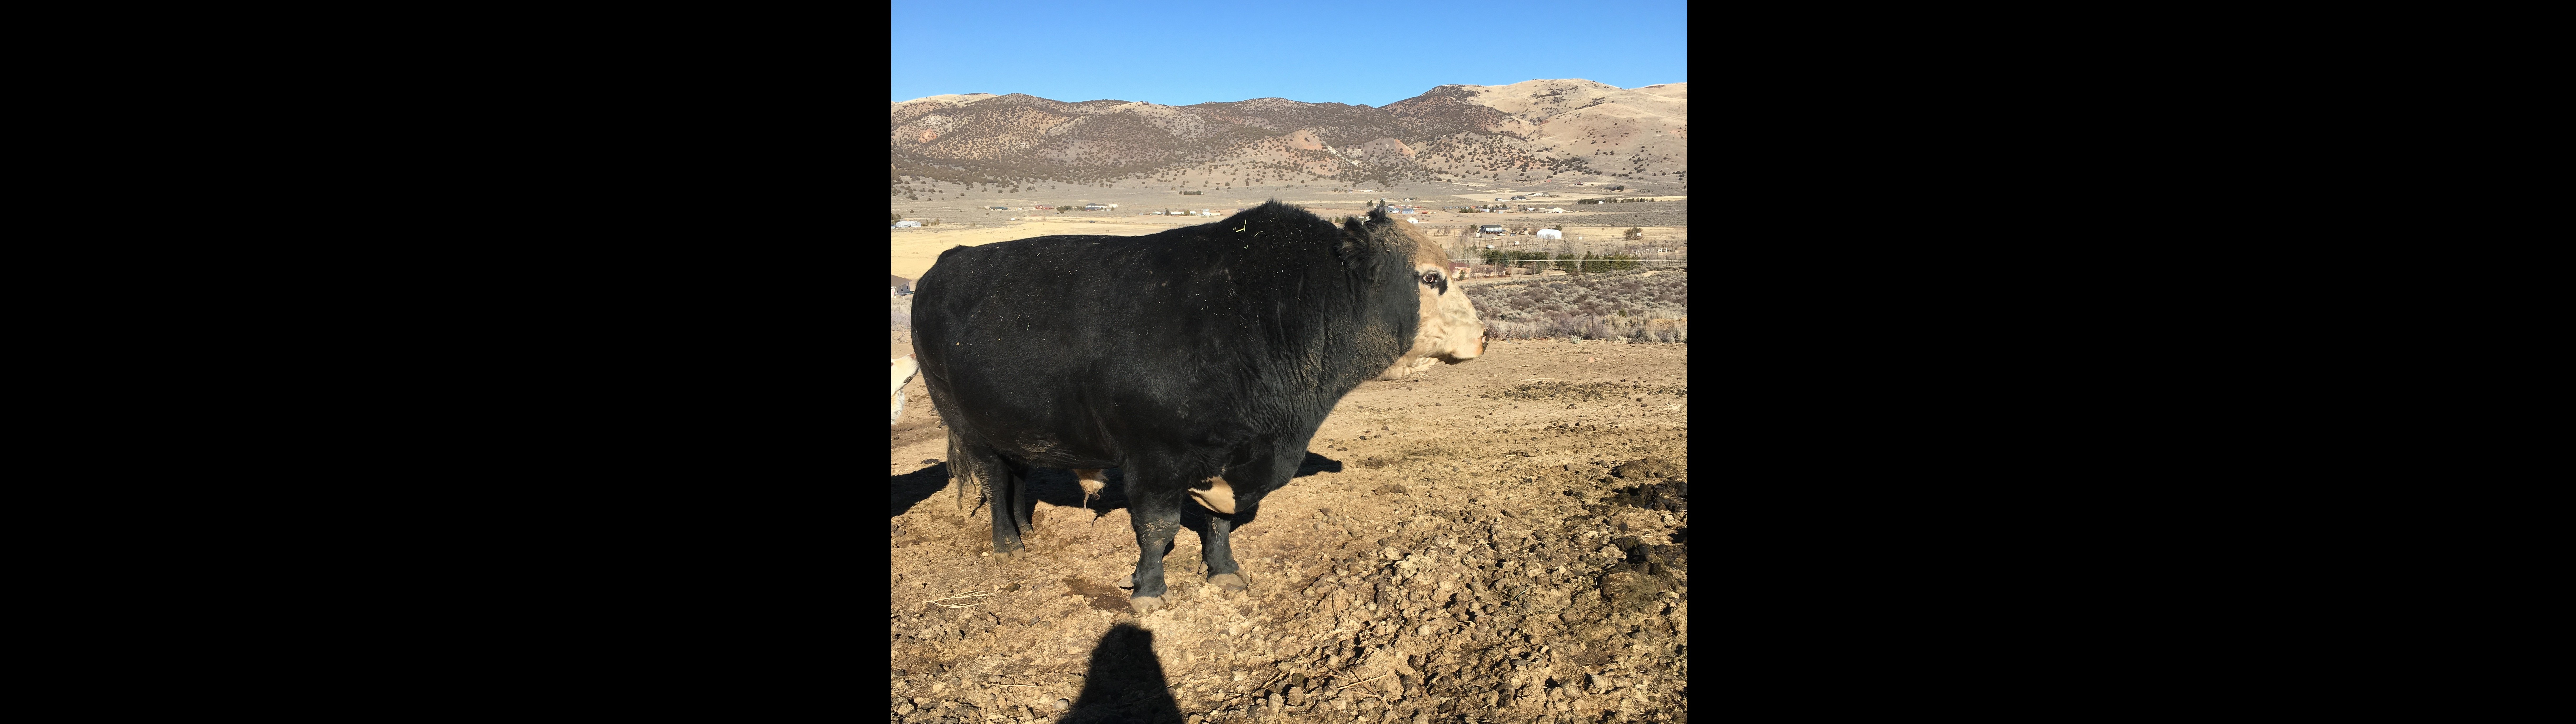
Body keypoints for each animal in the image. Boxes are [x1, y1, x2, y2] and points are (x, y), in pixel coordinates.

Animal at [910, 201, 1485, 615]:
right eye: (1431, 278)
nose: (1484, 336)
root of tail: (950, 258)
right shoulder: (1153, 460)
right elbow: (1157, 527)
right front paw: (1149, 589)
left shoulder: (1231, 458)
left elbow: (1219, 522)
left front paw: (1224, 571)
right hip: (966, 423)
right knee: (993, 477)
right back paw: (1008, 542)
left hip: (1013, 425)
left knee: (1016, 475)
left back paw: (1027, 528)